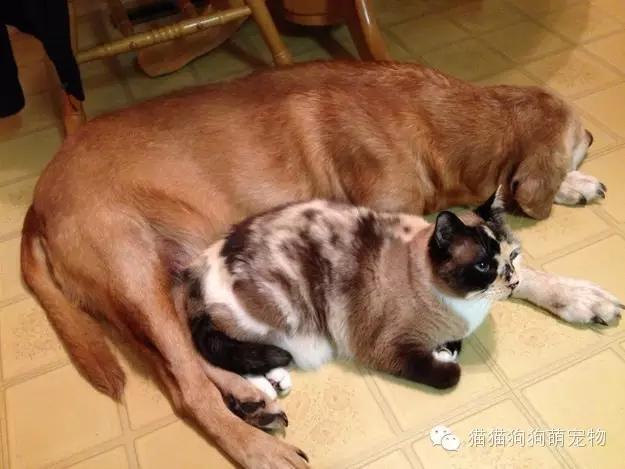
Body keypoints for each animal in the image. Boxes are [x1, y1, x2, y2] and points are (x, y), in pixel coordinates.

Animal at [183, 188, 520, 396]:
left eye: (513, 256)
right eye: (483, 266)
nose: (514, 282)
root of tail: (202, 261)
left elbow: (453, 346)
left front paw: (445, 349)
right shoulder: (388, 347)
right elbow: (449, 374)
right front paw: (445, 360)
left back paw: (277, 378)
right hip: (280, 316)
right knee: (229, 350)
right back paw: (267, 388)